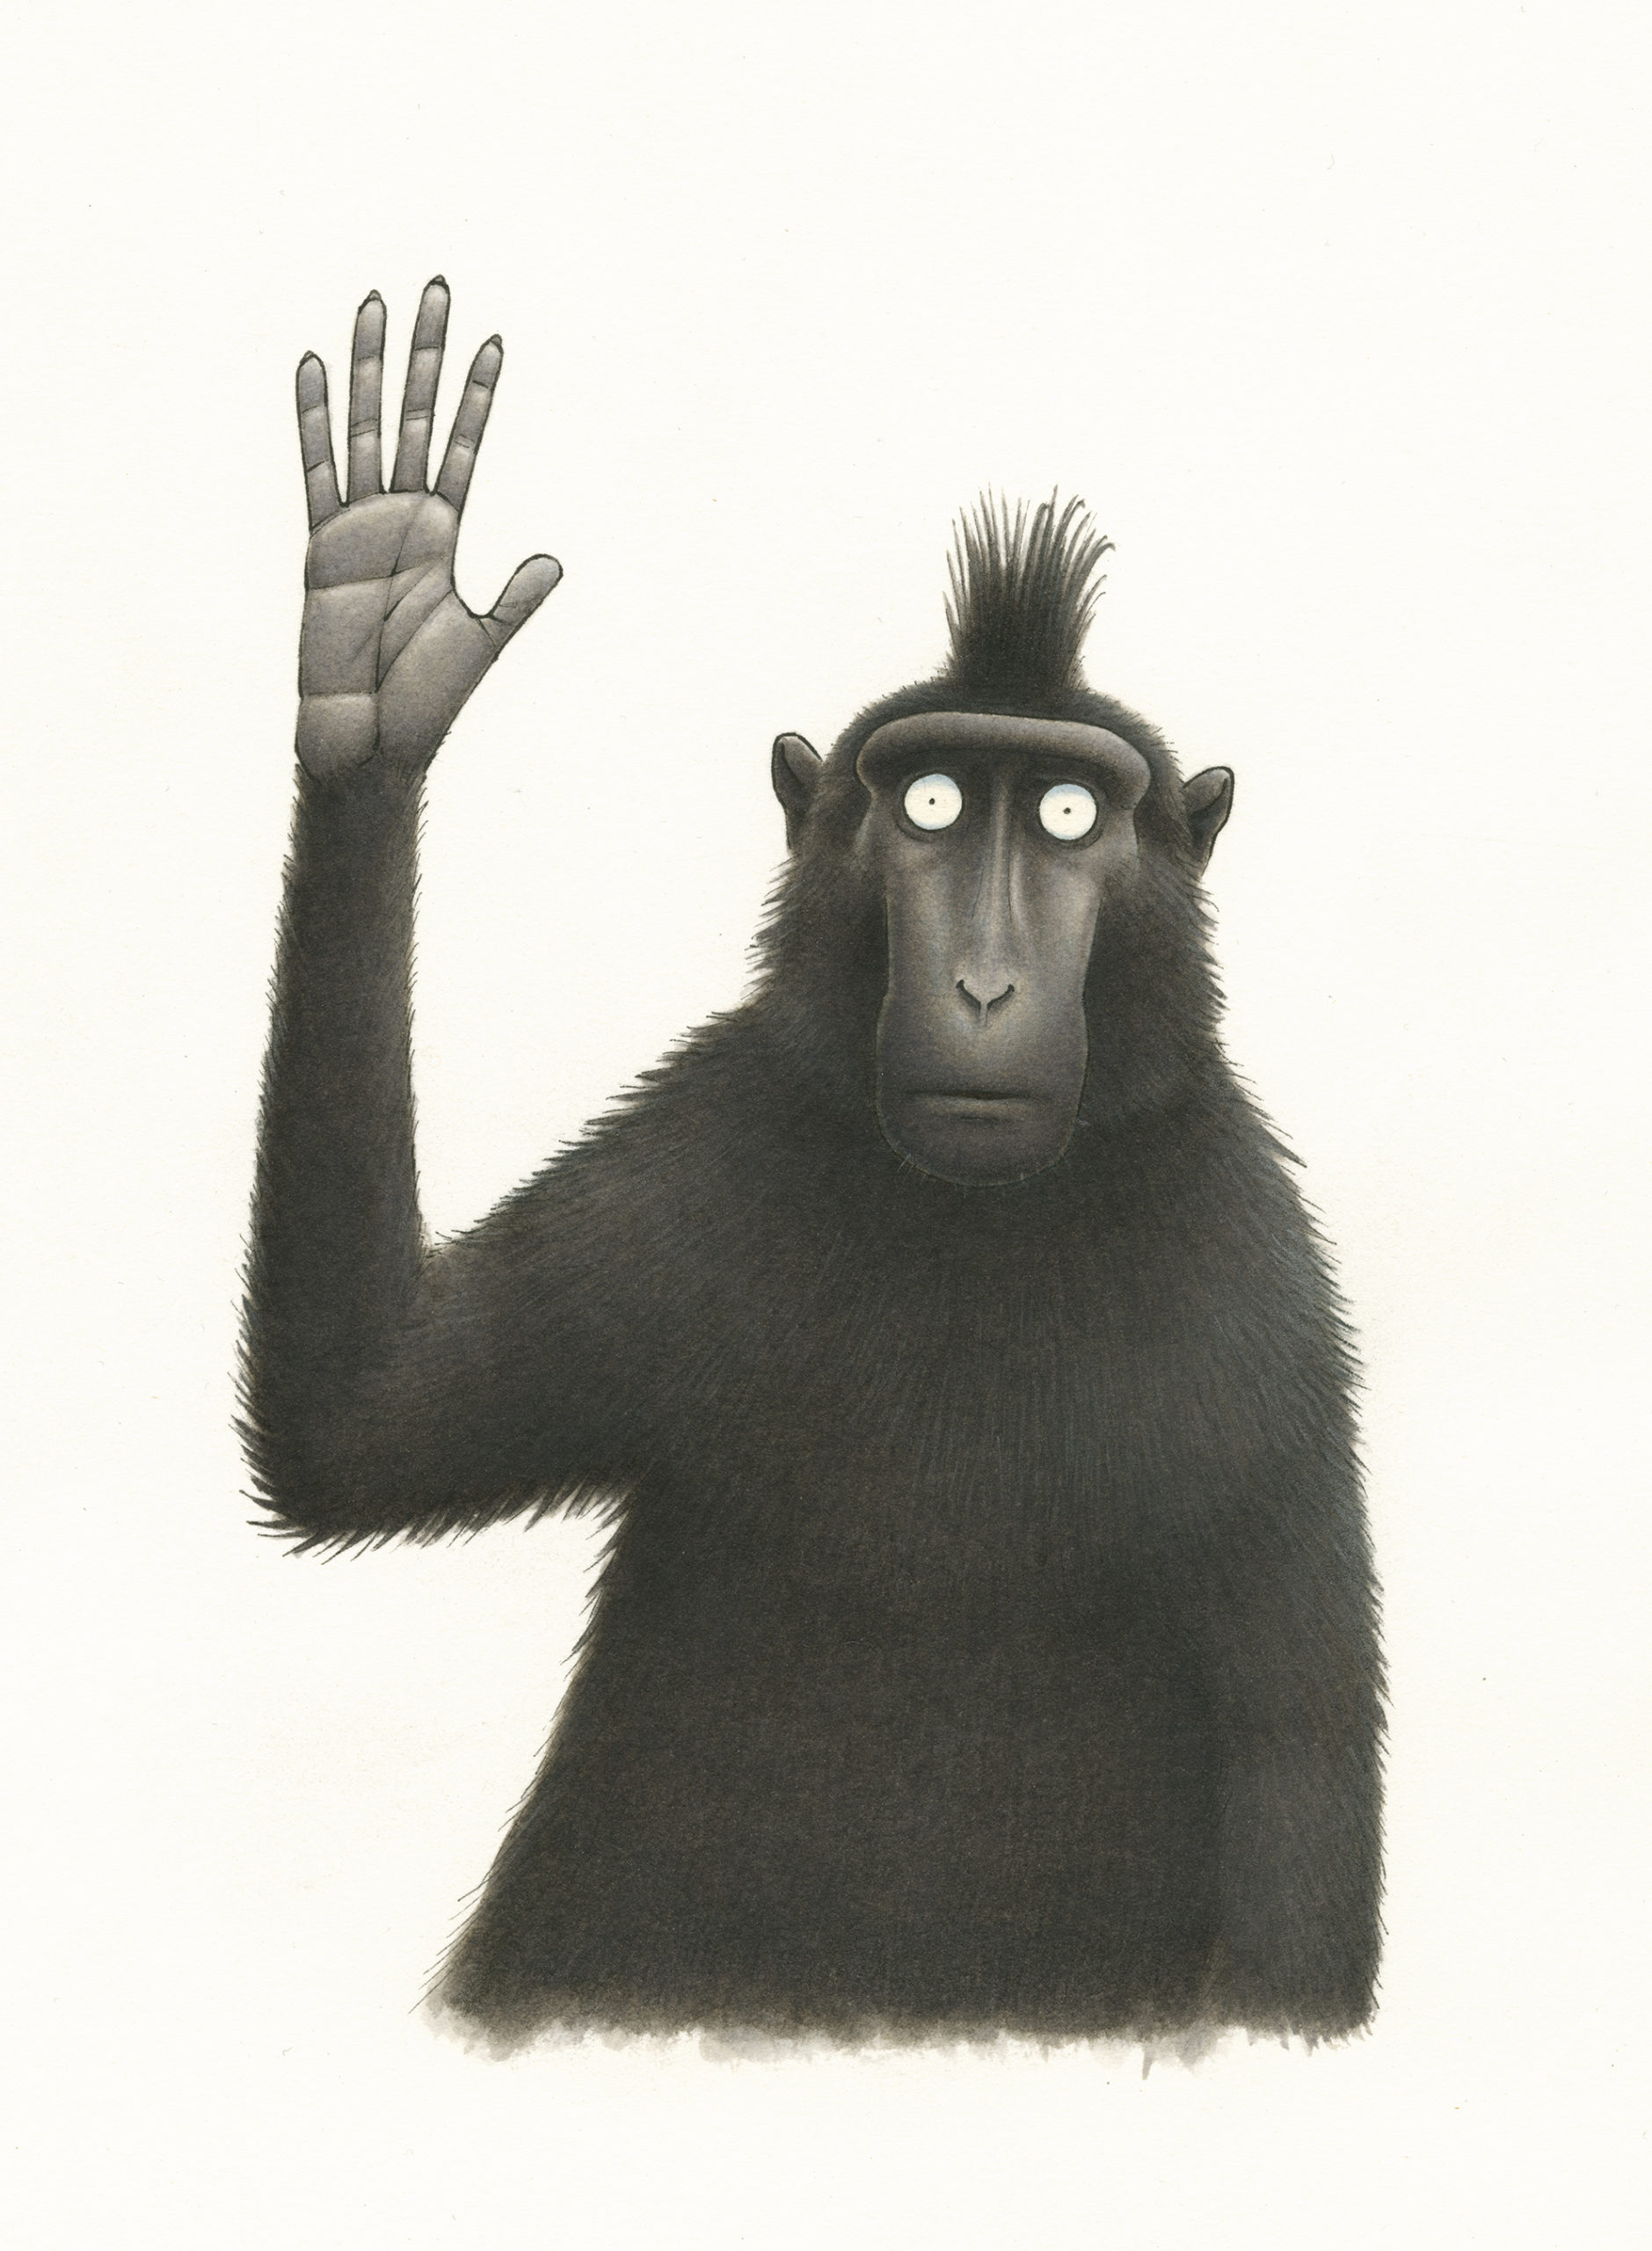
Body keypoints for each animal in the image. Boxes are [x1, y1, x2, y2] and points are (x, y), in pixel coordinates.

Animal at [242, 280, 1383, 2050]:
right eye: (927, 801)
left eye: (1070, 816)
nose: (979, 983)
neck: (969, 1232)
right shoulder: (697, 1168)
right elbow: (358, 1423)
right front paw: (378, 646)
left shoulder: (1261, 1317)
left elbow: (1293, 1872)